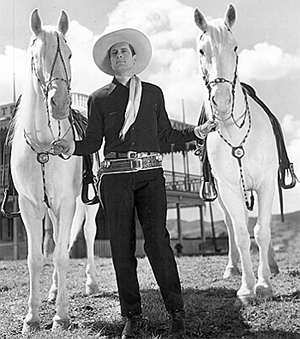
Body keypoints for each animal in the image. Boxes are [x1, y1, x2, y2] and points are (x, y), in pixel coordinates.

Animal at [9, 9, 98, 334]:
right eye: (36, 56)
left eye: (70, 54)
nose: (59, 103)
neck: (46, 148)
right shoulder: (30, 207)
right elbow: (37, 258)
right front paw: (32, 317)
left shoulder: (69, 202)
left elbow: (61, 256)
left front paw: (61, 316)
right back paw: (53, 290)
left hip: (87, 205)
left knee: (87, 233)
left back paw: (91, 284)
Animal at [195, 3, 278, 304]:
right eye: (202, 50)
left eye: (235, 47)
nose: (221, 102)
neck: (233, 130)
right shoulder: (229, 188)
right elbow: (241, 233)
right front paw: (247, 288)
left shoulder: (266, 184)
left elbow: (262, 231)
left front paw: (264, 284)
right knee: (233, 225)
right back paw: (233, 267)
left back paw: (273, 266)